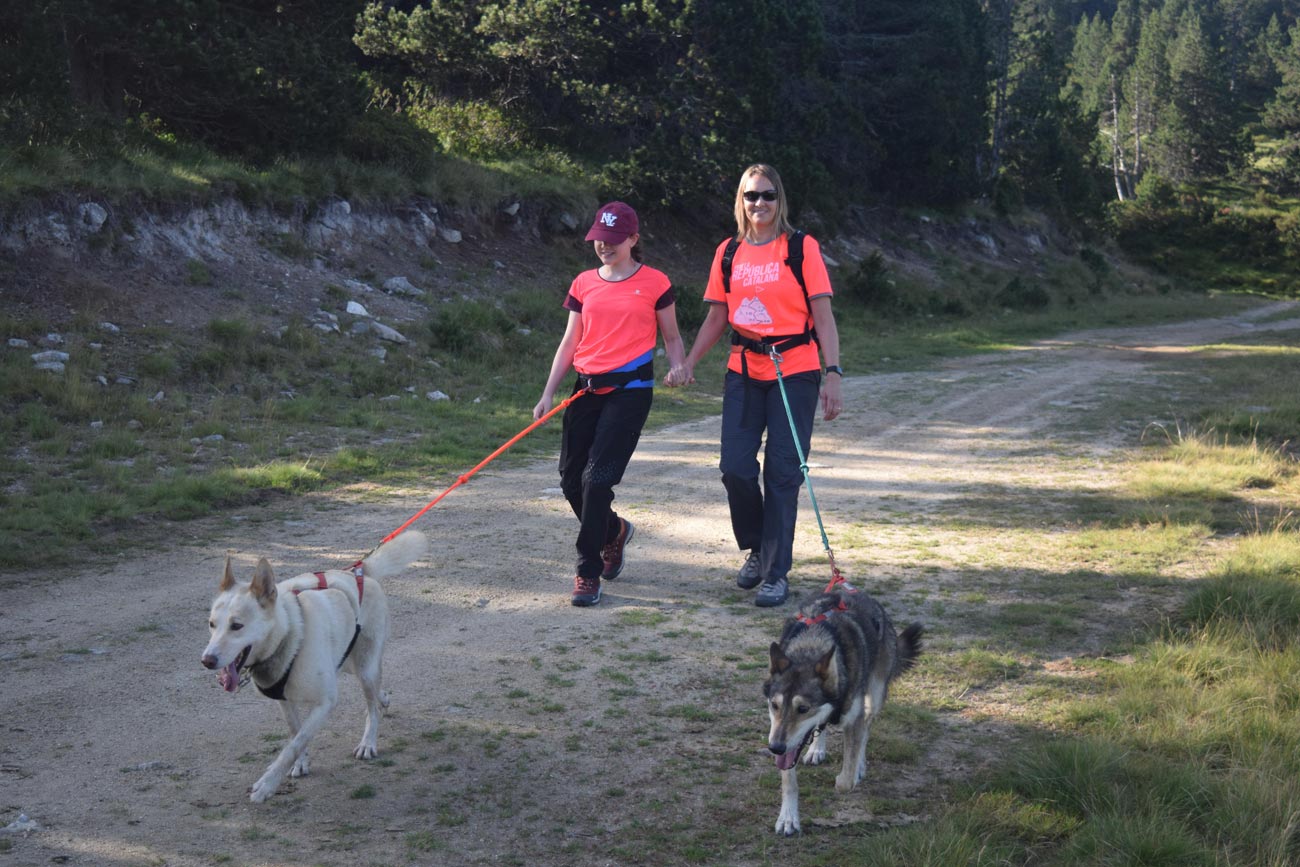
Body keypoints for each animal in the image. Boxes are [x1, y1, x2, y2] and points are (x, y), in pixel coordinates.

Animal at [200, 532, 426, 805]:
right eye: (212, 624)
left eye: (237, 626)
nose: (207, 660)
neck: (288, 635)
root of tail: (361, 572)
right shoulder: (285, 702)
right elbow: (295, 734)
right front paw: (301, 763)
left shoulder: (325, 702)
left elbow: (294, 744)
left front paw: (267, 784)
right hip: (348, 662)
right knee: (377, 692)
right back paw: (384, 699)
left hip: (365, 668)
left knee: (372, 708)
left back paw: (368, 742)